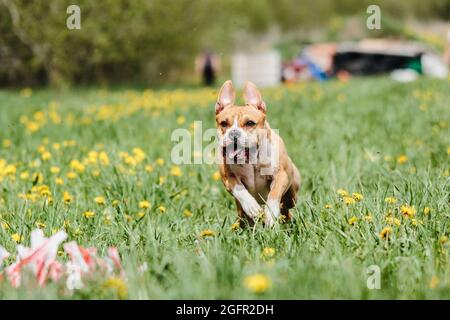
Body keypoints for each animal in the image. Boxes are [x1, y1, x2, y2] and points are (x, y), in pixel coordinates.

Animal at [215, 80, 300, 228]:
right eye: (224, 124)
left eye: (250, 123)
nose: (234, 133)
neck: (252, 159)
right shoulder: (228, 177)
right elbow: (239, 189)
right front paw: (252, 207)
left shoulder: (281, 174)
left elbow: (274, 194)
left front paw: (270, 214)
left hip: (293, 188)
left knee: (287, 204)